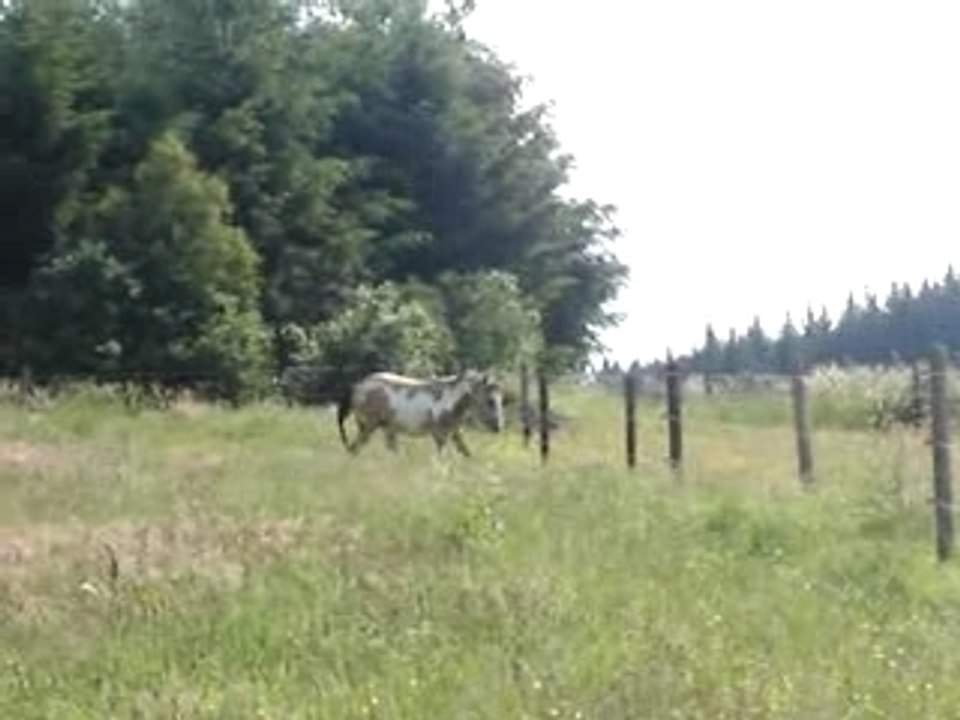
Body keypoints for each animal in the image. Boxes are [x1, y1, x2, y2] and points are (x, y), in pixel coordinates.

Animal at [336, 369, 505, 456]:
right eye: (490, 401)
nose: (498, 427)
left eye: (501, 399)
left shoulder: (455, 434)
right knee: (354, 449)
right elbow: (441, 456)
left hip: (386, 430)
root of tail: (358, 386)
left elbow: (467, 454)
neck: (449, 399)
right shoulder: (440, 435)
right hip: (369, 427)